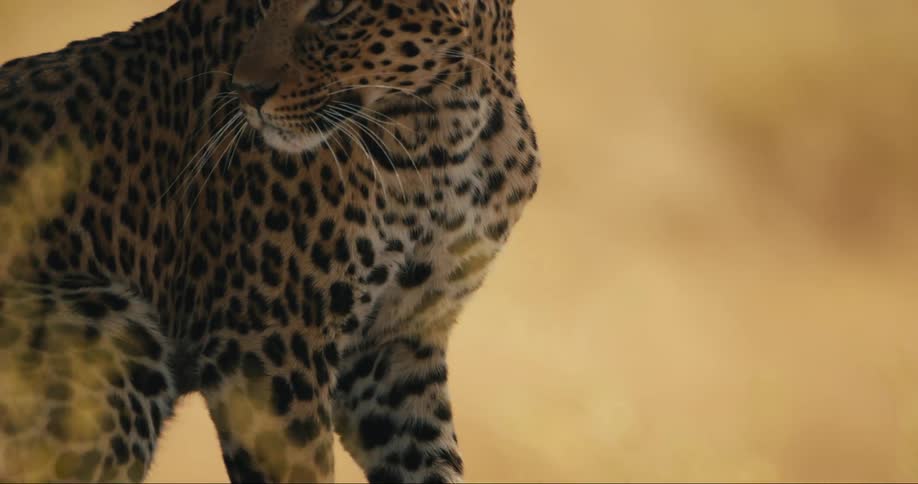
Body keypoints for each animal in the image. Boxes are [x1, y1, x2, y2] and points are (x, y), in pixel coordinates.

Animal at [0, 0, 539, 482]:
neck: (448, 130)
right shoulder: (267, 346)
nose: (247, 92)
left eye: (333, 8)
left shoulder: (395, 347)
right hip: (110, 329)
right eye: (262, 3)